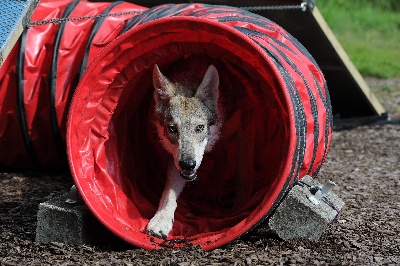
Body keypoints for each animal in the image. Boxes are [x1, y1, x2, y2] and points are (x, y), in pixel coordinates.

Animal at [147, 62, 222, 239]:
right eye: (172, 129)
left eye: (200, 128)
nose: (188, 164)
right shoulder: (174, 160)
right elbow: (169, 192)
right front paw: (161, 220)